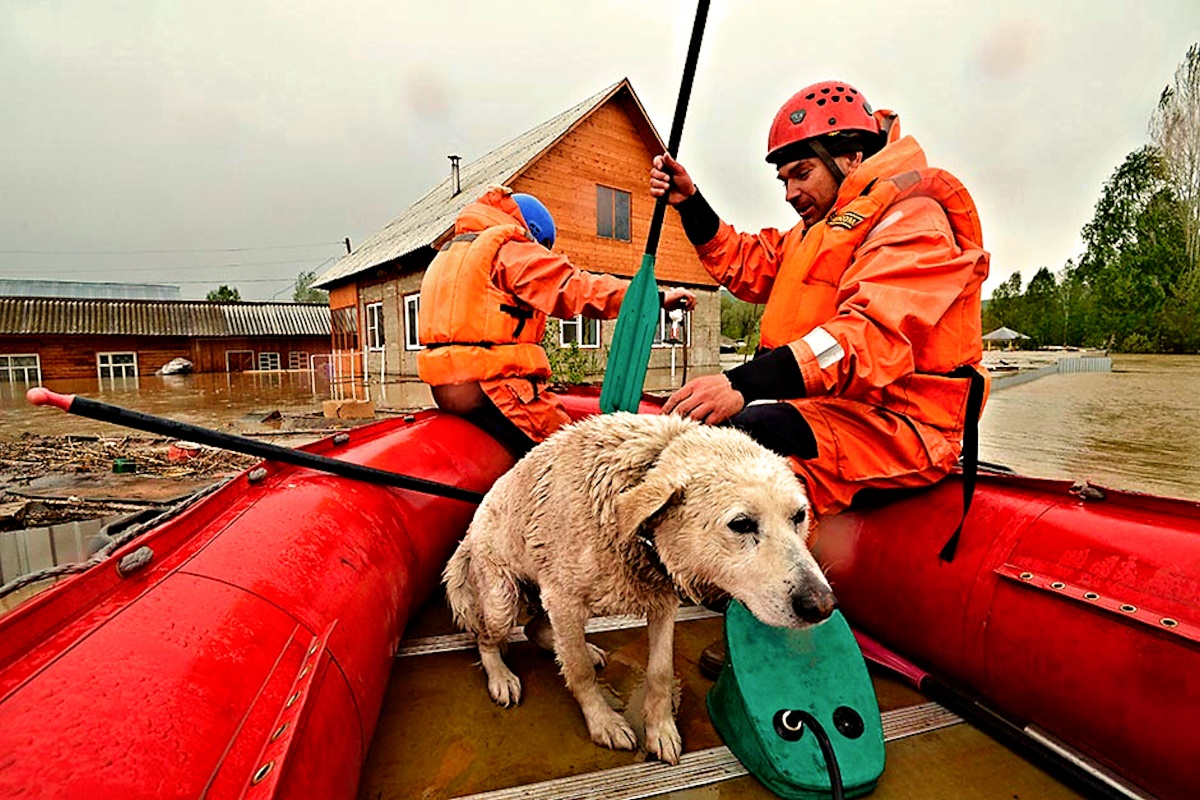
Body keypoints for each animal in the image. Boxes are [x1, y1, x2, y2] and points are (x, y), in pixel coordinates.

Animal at [441, 412, 835, 762]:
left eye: (799, 516)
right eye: (741, 524)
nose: (823, 605)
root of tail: (469, 534)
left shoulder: (662, 603)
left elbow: (659, 673)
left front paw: (661, 730)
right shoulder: (564, 600)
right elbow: (579, 673)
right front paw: (604, 723)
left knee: (538, 628)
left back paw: (580, 647)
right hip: (502, 600)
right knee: (488, 637)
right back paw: (502, 677)